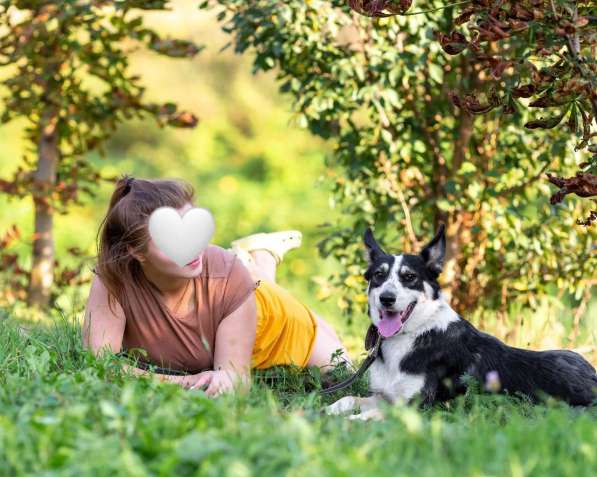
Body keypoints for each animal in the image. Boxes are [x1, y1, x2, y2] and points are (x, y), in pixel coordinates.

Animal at [326, 225, 596, 418]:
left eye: (410, 277)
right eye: (378, 275)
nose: (387, 299)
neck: (412, 335)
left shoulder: (416, 406)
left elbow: (370, 417)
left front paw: (347, 423)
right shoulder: (385, 397)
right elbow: (347, 399)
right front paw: (324, 412)